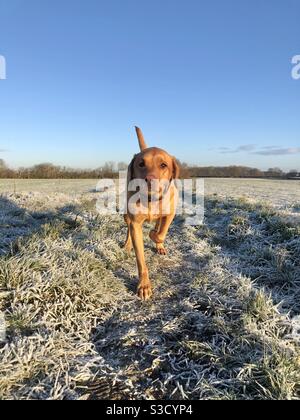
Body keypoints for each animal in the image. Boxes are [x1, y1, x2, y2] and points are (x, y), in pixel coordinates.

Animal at [123, 126, 179, 300]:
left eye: (163, 165)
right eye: (141, 164)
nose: (150, 179)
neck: (150, 200)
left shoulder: (170, 213)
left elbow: (161, 232)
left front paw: (155, 236)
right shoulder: (135, 224)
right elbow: (141, 260)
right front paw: (144, 286)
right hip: (127, 215)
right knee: (127, 227)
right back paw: (127, 245)